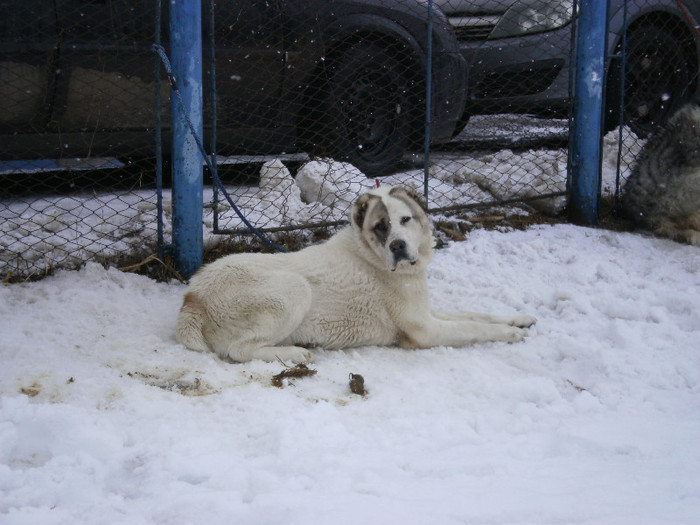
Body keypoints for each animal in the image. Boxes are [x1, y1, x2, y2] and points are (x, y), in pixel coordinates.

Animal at [176, 185, 536, 364]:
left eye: (405, 220)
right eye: (381, 227)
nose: (398, 246)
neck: (372, 256)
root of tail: (192, 299)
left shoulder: (426, 311)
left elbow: (476, 314)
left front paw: (518, 320)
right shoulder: (425, 330)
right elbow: (472, 327)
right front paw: (509, 334)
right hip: (295, 289)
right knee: (239, 351)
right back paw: (293, 353)